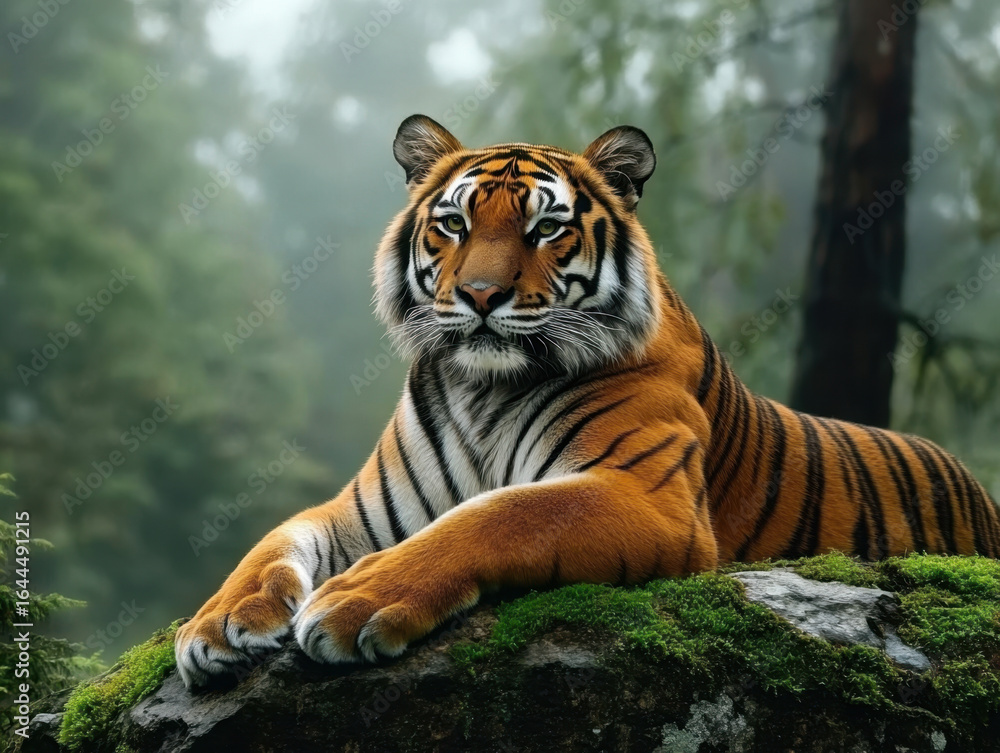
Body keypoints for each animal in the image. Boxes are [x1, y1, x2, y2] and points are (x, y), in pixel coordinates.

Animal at [175, 114, 1000, 688]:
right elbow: (273, 540)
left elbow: (501, 513)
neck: (483, 387)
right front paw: (218, 623)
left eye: (546, 227)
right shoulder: (362, 512)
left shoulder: (646, 492)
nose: (480, 295)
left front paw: (357, 598)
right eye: (454, 223)